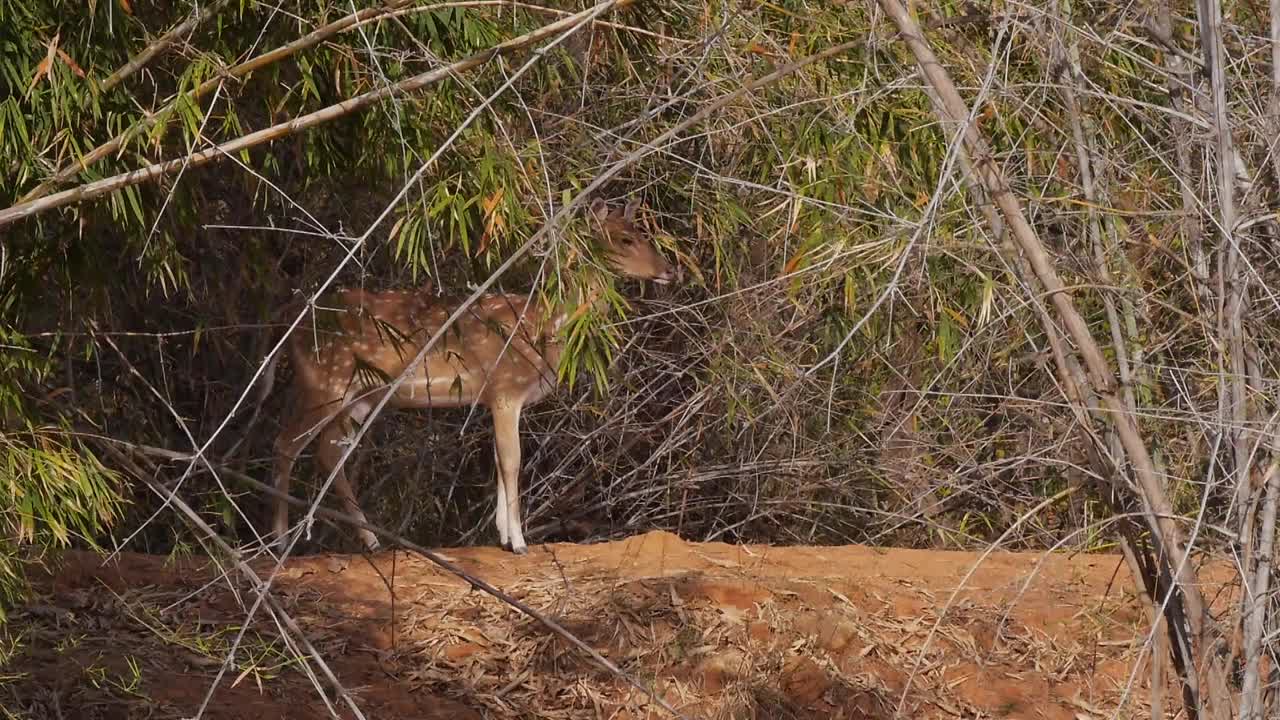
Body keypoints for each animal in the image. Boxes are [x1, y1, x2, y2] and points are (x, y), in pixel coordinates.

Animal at [262, 197, 680, 556]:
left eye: (645, 232)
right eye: (625, 239)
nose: (669, 270)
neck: (547, 328)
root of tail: (285, 321)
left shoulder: (493, 398)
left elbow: (497, 459)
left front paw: (503, 536)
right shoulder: (506, 388)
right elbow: (512, 460)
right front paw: (519, 542)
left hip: (359, 394)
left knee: (327, 451)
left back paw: (370, 540)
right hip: (325, 381)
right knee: (286, 444)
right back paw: (281, 542)